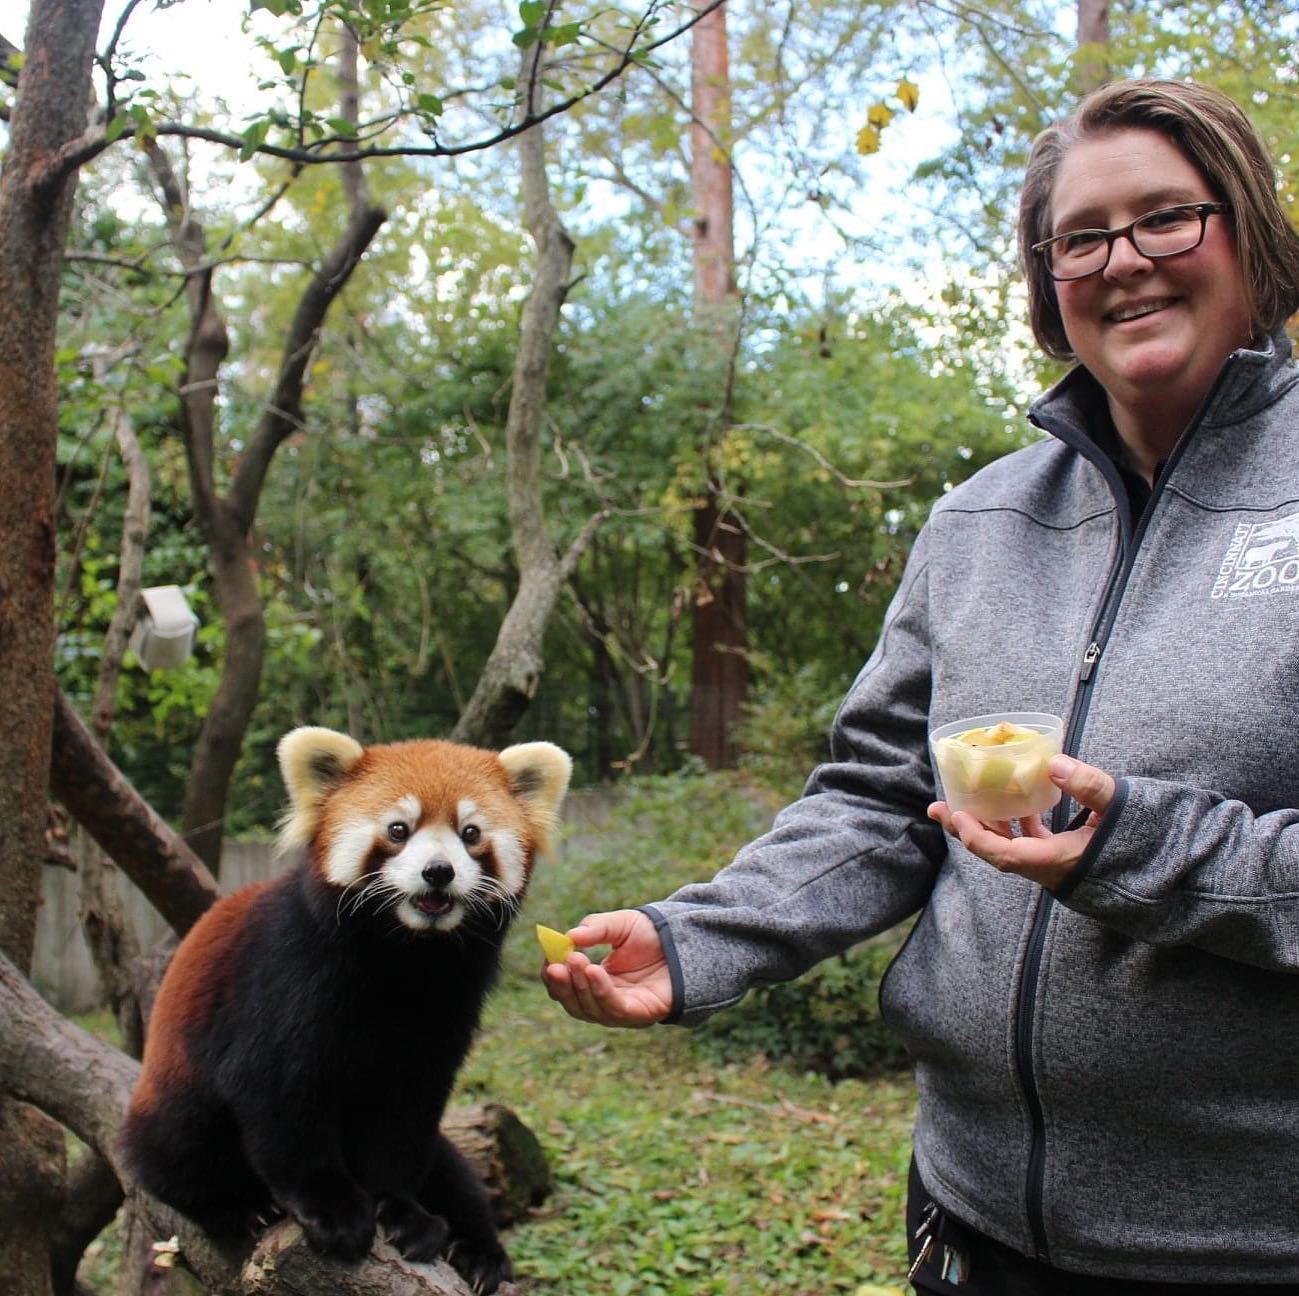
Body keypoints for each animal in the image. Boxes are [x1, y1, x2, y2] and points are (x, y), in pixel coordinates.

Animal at [120, 726, 572, 1294]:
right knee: (174, 1148)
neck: (406, 955)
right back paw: (237, 1207)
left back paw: (480, 1251)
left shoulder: (446, 1008)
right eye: (399, 829)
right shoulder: (284, 976)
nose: (438, 872)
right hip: (175, 1090)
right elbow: (278, 1097)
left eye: (471, 833)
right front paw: (333, 1210)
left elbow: (406, 1118)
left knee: (453, 1170)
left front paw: (403, 1211)